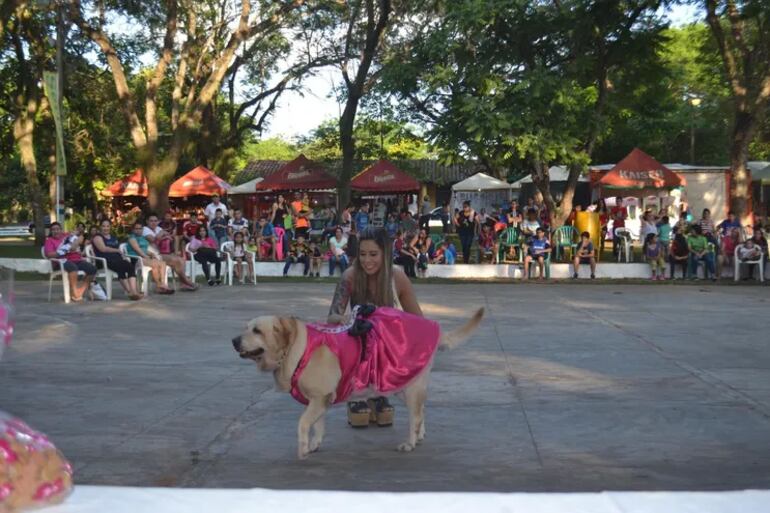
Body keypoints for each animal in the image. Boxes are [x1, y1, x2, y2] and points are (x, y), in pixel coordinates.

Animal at [230, 306, 480, 458]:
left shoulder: (319, 397)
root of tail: (434, 327)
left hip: (409, 388)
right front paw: (314, 444)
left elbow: (302, 423)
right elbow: (317, 424)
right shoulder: (320, 400)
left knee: (415, 416)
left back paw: (409, 443)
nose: (233, 340)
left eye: (257, 330)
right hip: (403, 384)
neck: (294, 348)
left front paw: (303, 448)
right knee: (422, 411)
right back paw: (419, 436)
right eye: (245, 328)